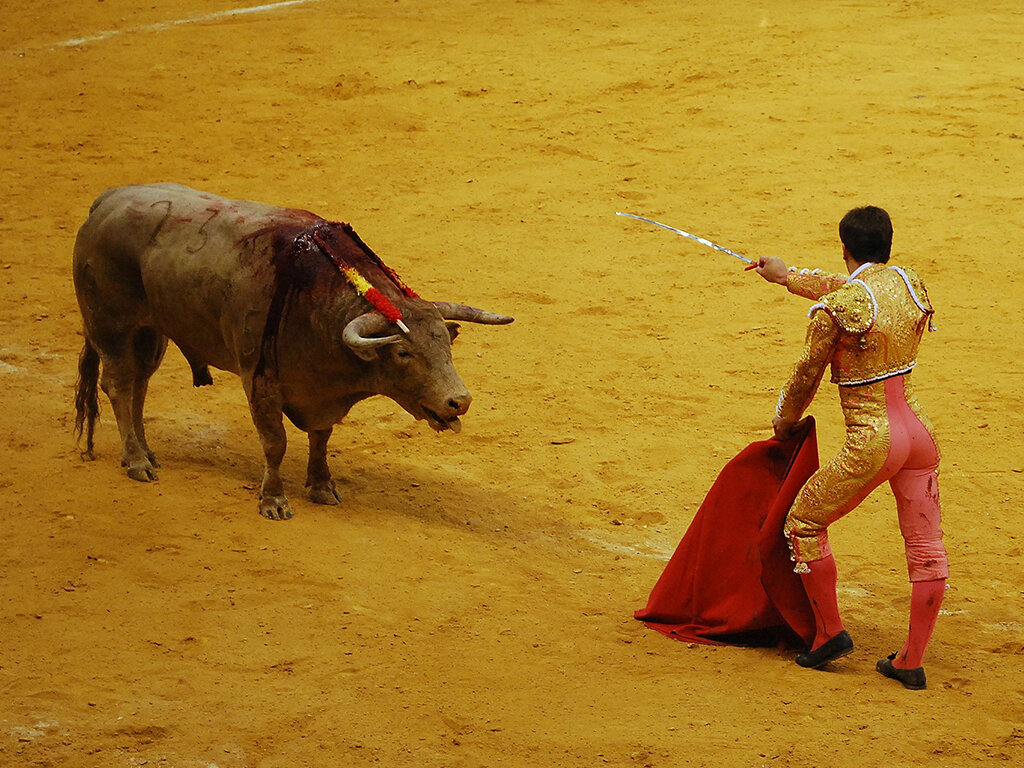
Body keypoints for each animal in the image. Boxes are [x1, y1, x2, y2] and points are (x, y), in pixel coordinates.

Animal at [74, 183, 512, 520]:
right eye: (403, 353)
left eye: (446, 342)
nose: (459, 401)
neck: (316, 301)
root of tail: (105, 201)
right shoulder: (260, 382)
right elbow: (275, 442)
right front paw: (274, 501)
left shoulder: (320, 391)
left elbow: (321, 436)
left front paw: (321, 486)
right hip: (111, 326)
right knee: (118, 385)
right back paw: (136, 461)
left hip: (152, 331)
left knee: (140, 384)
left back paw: (146, 452)